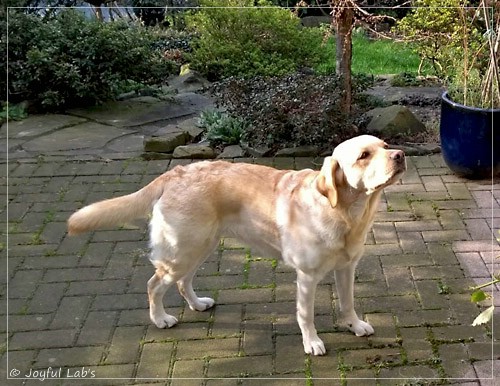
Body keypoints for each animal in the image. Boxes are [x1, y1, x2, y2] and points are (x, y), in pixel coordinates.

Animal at [68, 135, 404, 356]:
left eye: (385, 146)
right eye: (364, 155)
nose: (400, 155)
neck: (346, 211)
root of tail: (174, 172)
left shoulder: (347, 267)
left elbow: (348, 302)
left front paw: (354, 325)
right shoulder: (307, 277)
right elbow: (305, 315)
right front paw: (312, 342)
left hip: (201, 246)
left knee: (182, 283)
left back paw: (197, 304)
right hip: (183, 250)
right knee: (154, 285)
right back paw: (161, 319)